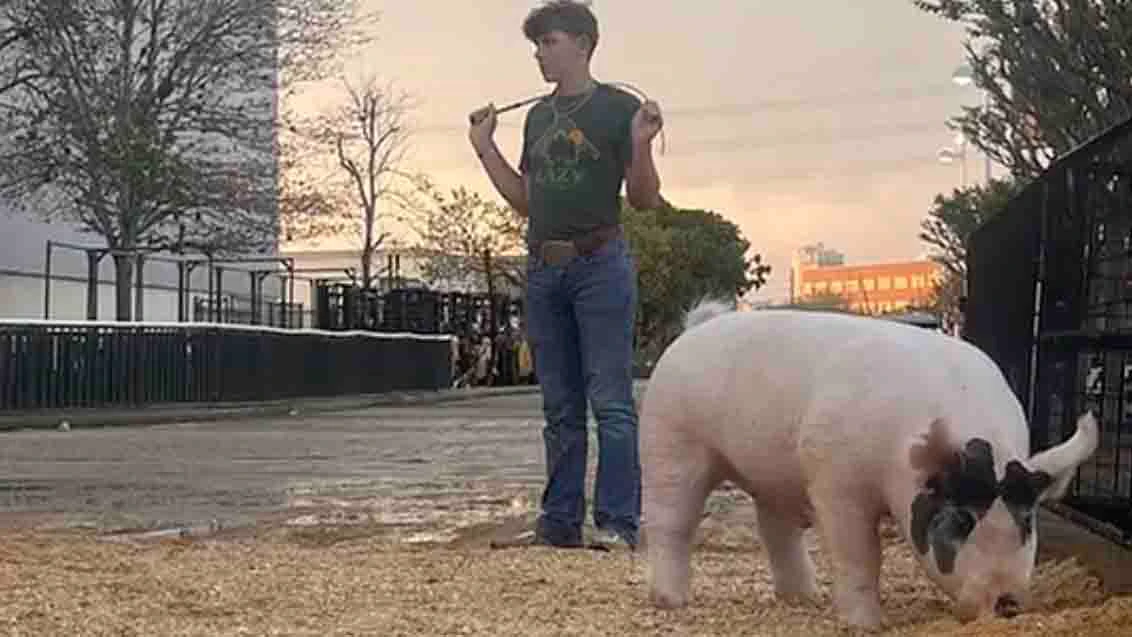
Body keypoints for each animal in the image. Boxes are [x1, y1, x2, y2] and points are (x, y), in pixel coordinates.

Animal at [640, 300, 1099, 630]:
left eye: (1027, 521)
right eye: (963, 520)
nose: (1007, 602)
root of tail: (694, 329)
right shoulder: (835, 479)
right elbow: (859, 553)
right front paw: (867, 626)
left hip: (773, 473)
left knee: (776, 528)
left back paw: (805, 598)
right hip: (669, 439)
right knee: (670, 521)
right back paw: (671, 600)